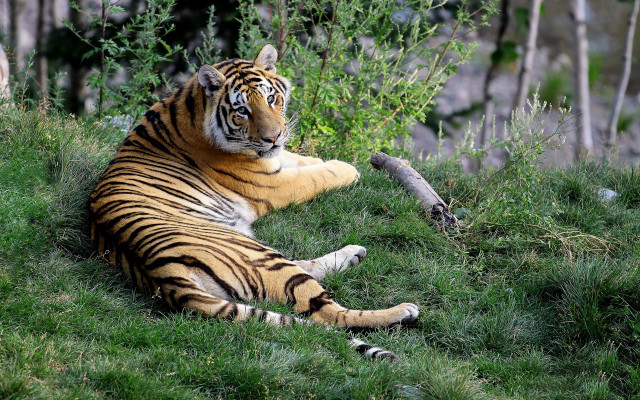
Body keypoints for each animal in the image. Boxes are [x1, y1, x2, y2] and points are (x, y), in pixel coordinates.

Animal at [89, 44, 419, 360]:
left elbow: (301, 159)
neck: (191, 107)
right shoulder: (271, 184)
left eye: (271, 98)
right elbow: (315, 177)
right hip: (259, 255)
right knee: (329, 314)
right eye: (242, 111)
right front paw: (347, 169)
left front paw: (322, 159)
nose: (273, 137)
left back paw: (353, 254)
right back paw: (402, 311)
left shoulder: (274, 160)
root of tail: (162, 275)